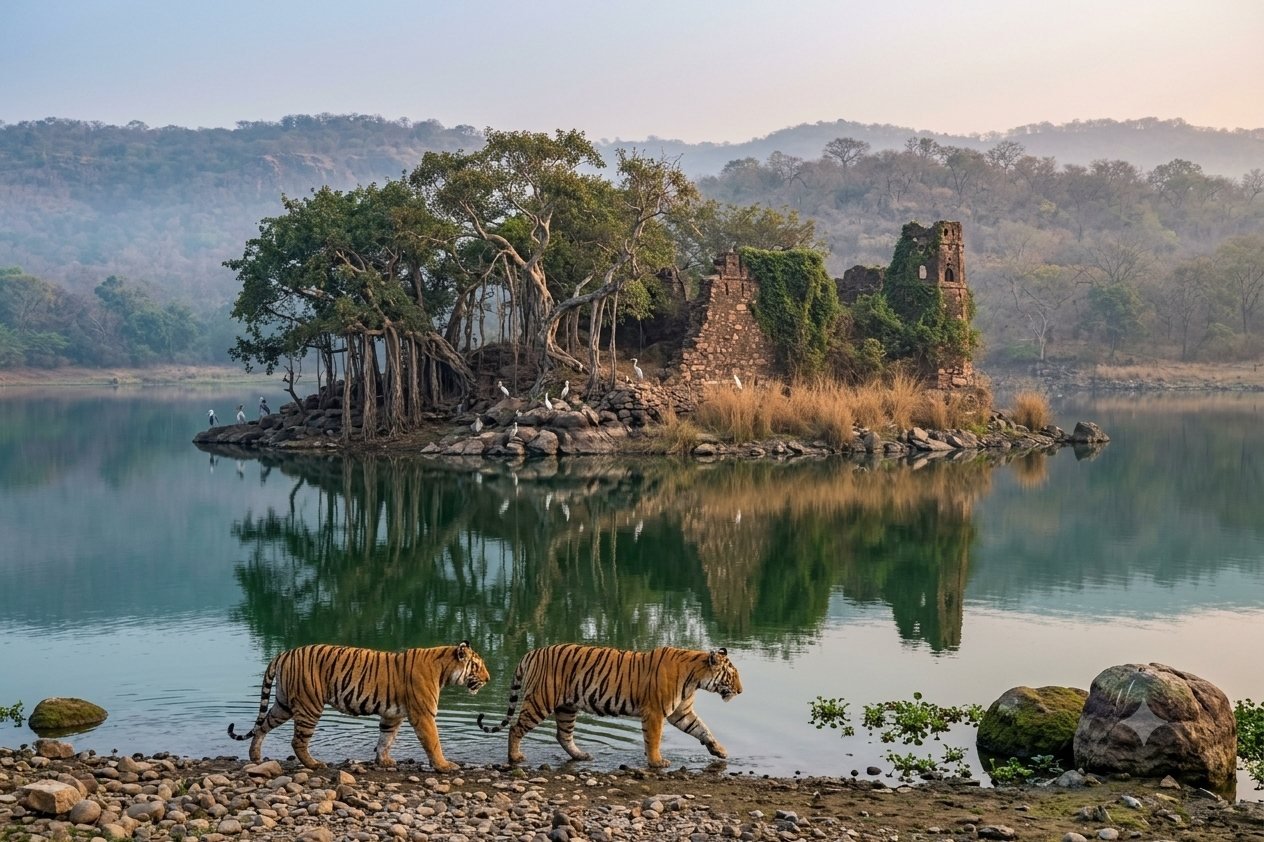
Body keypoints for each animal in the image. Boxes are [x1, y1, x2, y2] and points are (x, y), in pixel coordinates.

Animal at [228, 641, 489, 771]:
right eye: (477, 666)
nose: (488, 679)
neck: (444, 669)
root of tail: (284, 653)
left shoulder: (392, 715)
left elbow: (385, 739)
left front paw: (383, 761)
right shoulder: (424, 714)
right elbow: (433, 742)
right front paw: (444, 766)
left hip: (283, 704)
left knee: (263, 726)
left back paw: (255, 756)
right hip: (310, 705)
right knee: (298, 741)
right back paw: (314, 764)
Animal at [476, 643, 741, 768]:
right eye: (731, 675)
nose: (740, 691)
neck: (695, 678)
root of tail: (530, 653)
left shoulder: (681, 712)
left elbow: (703, 730)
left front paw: (720, 751)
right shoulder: (655, 712)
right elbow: (653, 739)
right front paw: (657, 762)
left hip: (567, 707)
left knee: (563, 735)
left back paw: (581, 755)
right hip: (541, 701)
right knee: (516, 728)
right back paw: (515, 757)